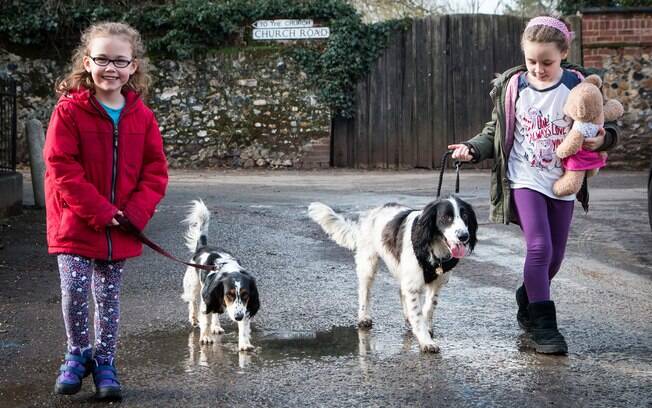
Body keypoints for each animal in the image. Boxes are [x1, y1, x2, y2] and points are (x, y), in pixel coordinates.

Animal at [181, 200, 260, 350]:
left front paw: (244, 344)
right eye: (229, 294)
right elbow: (205, 320)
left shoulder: (244, 308)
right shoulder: (207, 300)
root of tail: (202, 247)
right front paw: (205, 337)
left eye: (246, 295)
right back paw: (194, 319)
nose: (238, 317)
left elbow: (243, 328)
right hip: (193, 286)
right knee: (192, 302)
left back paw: (216, 327)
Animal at [308, 196, 476, 352]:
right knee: (364, 291)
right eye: (446, 217)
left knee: (400, 291)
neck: (432, 245)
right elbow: (418, 315)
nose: (464, 236)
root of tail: (372, 213)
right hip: (368, 264)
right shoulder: (413, 283)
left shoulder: (436, 283)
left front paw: (426, 328)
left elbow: (428, 308)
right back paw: (363, 317)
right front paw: (426, 341)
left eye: (465, 216)